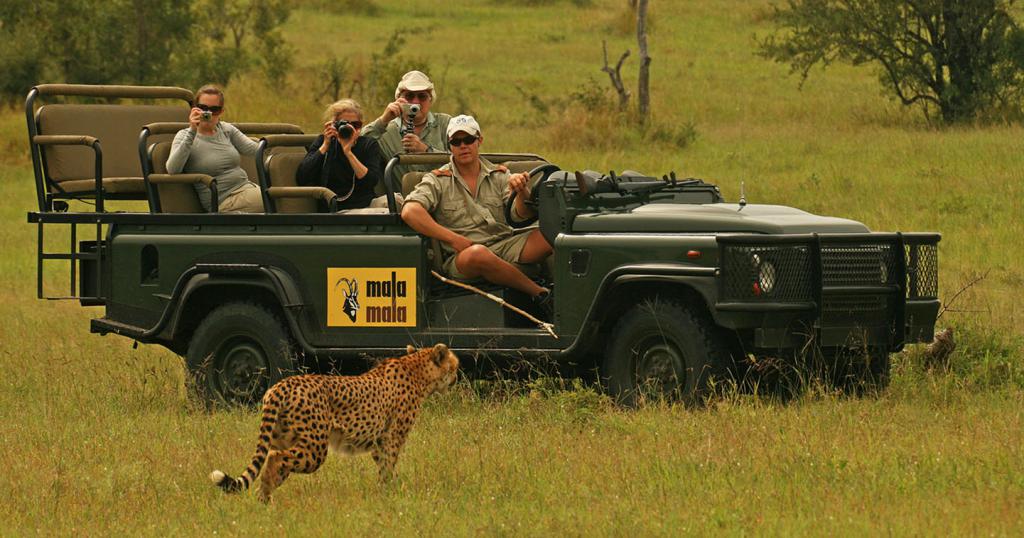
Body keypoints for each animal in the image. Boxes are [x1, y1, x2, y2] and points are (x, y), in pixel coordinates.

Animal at [209, 342, 458, 502]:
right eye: (454, 365)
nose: (456, 376)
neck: (417, 368)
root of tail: (280, 385)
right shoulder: (391, 438)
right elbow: (388, 466)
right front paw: (390, 493)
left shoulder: (378, 442)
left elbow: (383, 466)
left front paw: (385, 491)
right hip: (315, 447)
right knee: (275, 458)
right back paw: (266, 497)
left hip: (283, 437)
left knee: (273, 459)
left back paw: (264, 498)